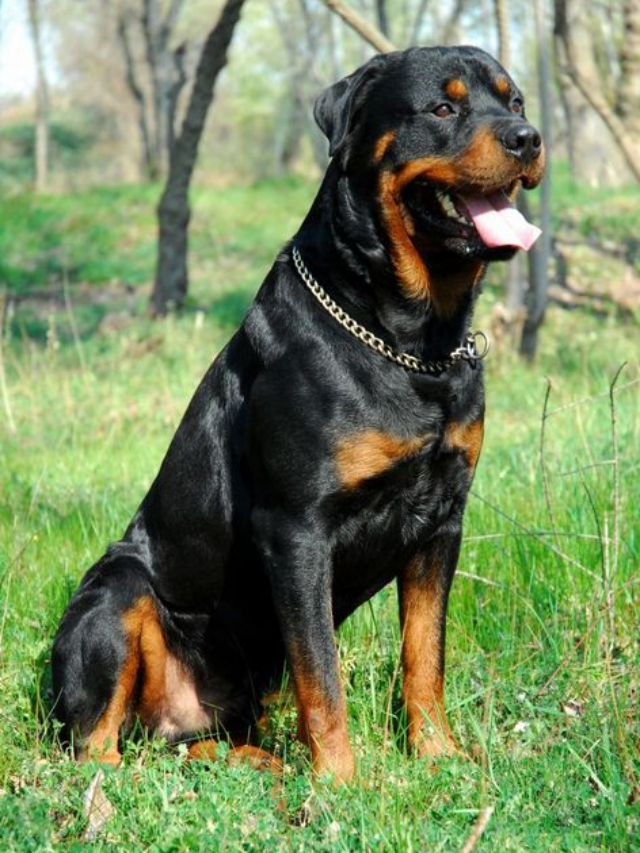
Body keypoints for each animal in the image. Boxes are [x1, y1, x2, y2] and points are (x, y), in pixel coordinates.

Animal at [53, 45, 544, 780]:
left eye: (514, 102)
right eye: (442, 108)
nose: (528, 138)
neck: (410, 339)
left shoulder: (442, 522)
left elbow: (424, 653)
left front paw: (437, 754)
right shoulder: (296, 528)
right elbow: (323, 674)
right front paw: (340, 780)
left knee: (194, 743)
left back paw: (256, 763)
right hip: (116, 589)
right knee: (95, 747)